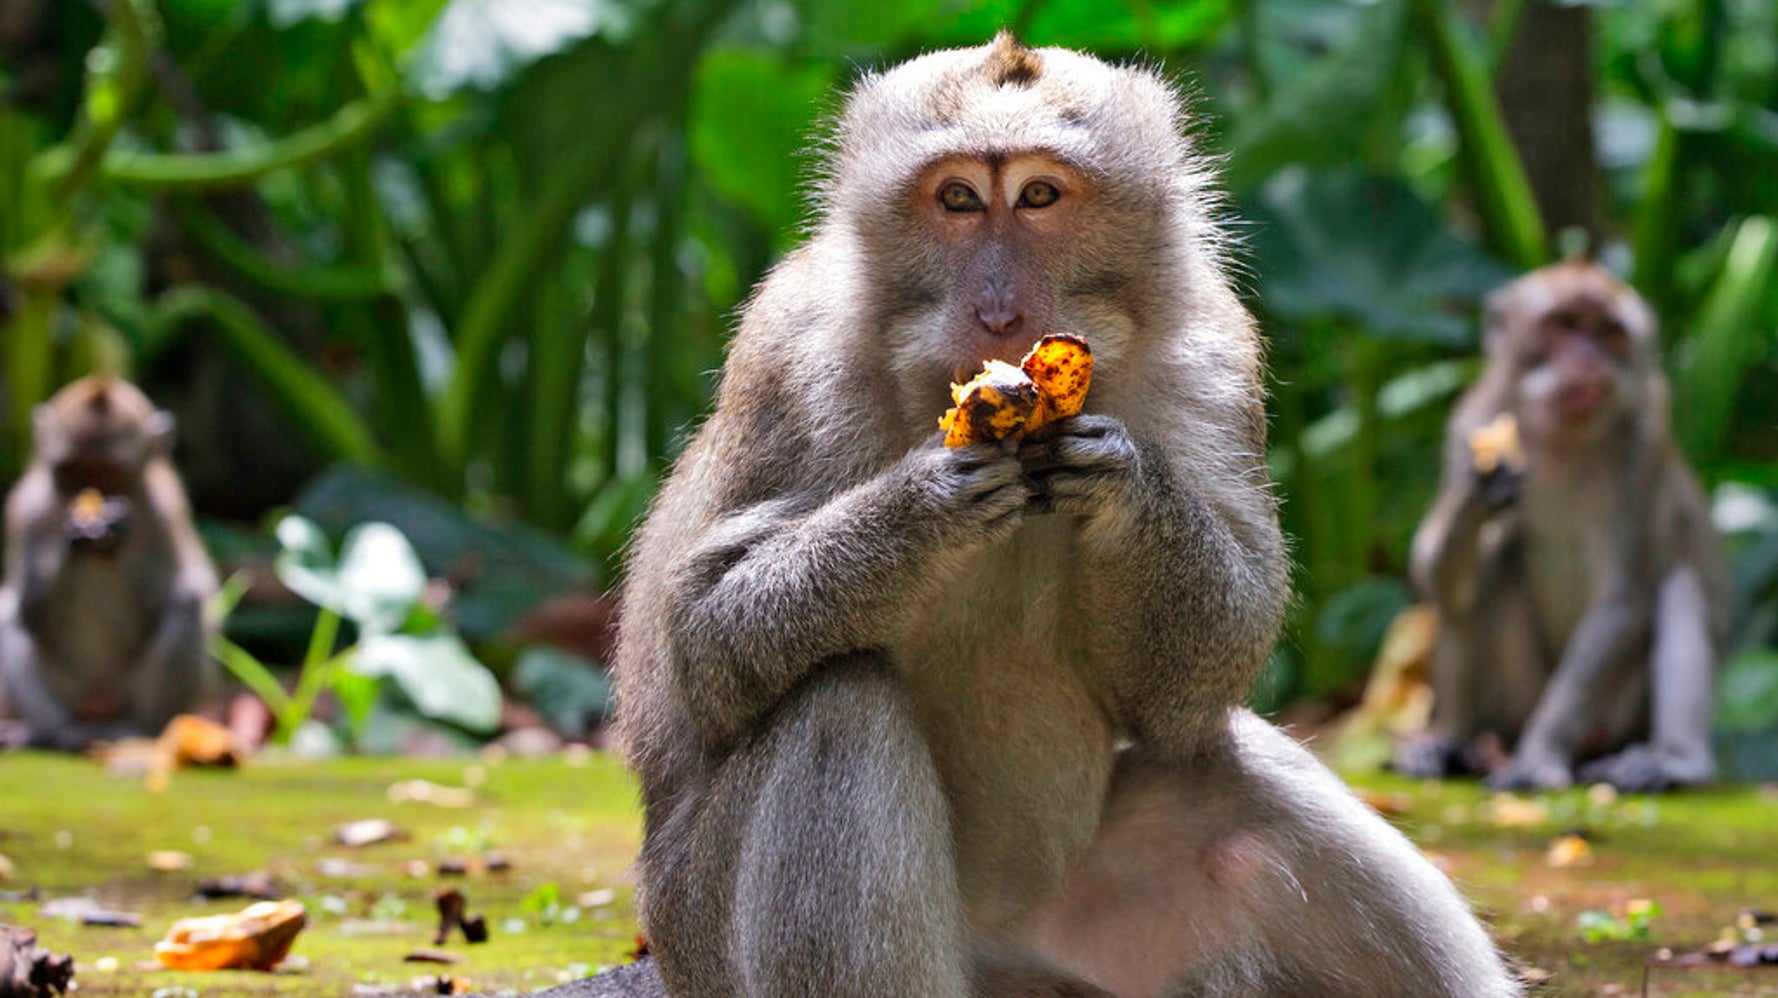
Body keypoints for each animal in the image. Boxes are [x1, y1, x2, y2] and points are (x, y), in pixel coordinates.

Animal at [0, 375, 218, 750]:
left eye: (111, 475)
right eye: (72, 472)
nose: (91, 494)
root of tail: (97, 705)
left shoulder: (165, 509)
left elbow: (177, 591)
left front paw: (116, 532)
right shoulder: (28, 508)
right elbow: (27, 610)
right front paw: (73, 538)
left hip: (128, 689)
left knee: (187, 600)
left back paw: (139, 728)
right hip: (68, 688)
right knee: (6, 611)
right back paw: (54, 733)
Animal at [611, 35, 1517, 998]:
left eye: (1039, 196)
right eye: (958, 199)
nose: (1000, 311)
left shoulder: (1216, 355)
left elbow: (1196, 681)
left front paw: (1125, 484)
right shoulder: (790, 356)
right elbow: (704, 640)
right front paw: (919, 509)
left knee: (1230, 770)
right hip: (703, 931)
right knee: (837, 706)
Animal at [1397, 259, 1730, 792]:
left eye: (1609, 332)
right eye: (1565, 324)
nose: (1589, 361)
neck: (1560, 438)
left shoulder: (1644, 444)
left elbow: (1621, 596)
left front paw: (1538, 756)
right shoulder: (1469, 420)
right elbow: (1434, 576)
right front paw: (1478, 490)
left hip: (1618, 718)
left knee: (1681, 583)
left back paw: (1674, 758)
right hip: (1513, 705)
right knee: (1484, 579)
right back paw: (1451, 741)